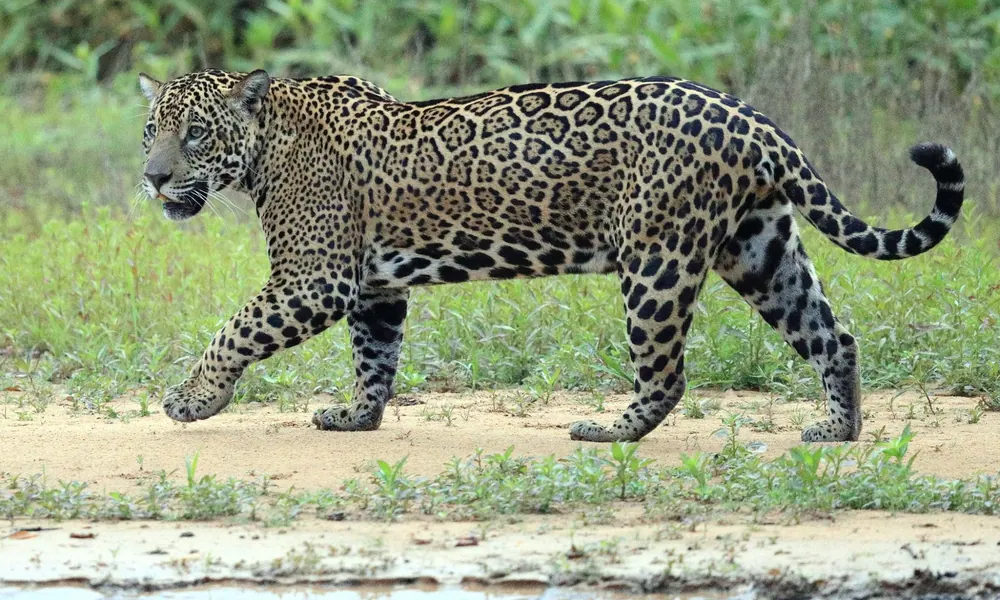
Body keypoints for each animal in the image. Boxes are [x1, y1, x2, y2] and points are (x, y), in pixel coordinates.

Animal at [138, 68, 965, 443]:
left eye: (196, 135)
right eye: (152, 130)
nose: (153, 178)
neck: (262, 147)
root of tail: (752, 117)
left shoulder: (313, 280)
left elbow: (234, 330)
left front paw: (193, 400)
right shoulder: (373, 286)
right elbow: (376, 354)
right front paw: (357, 417)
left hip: (657, 261)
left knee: (668, 372)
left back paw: (610, 432)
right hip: (759, 250)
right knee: (835, 335)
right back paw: (839, 430)